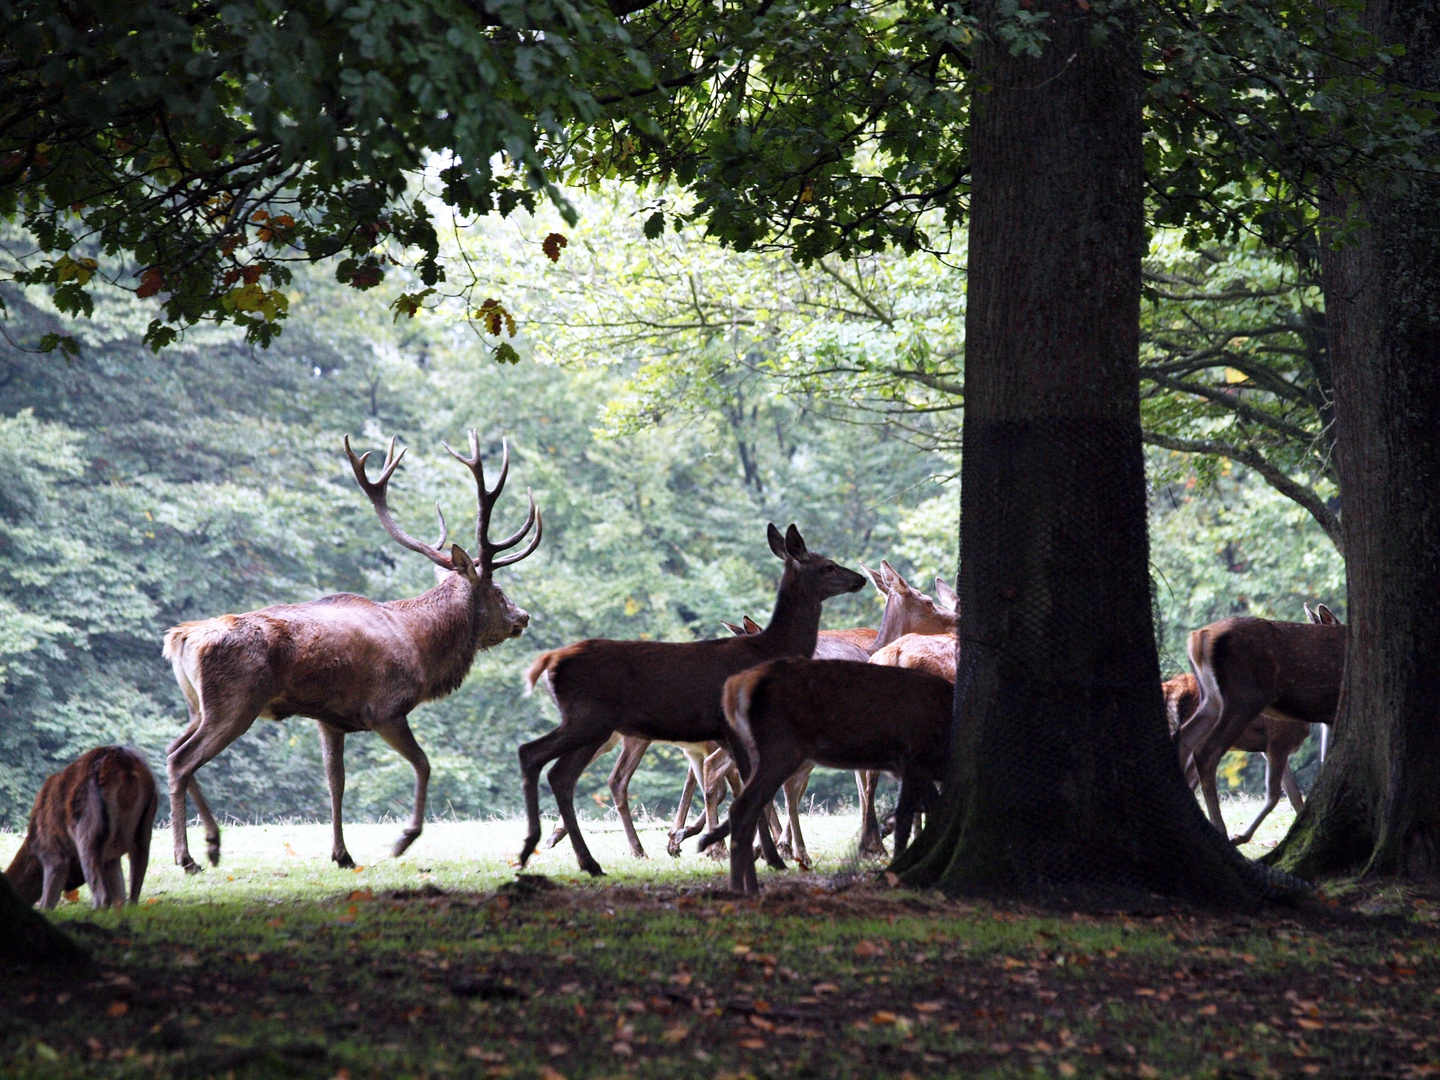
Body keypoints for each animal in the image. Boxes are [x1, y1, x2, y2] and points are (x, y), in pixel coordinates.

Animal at [5, 748, 157, 910]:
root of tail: (124, 767)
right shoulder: (111, 859)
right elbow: (120, 896)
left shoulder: (52, 853)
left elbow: (48, 902)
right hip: (145, 830)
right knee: (133, 897)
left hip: (88, 831)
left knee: (103, 896)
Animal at [163, 429, 541, 869]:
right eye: (497, 590)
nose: (523, 616)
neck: (422, 647)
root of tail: (181, 638)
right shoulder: (385, 708)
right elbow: (424, 764)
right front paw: (403, 838)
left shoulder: (330, 718)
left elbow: (335, 783)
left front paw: (342, 854)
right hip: (235, 701)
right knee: (181, 760)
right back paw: (188, 857)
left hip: (198, 706)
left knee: (173, 751)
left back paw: (212, 841)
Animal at [524, 527, 858, 881]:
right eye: (829, 566)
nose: (860, 579)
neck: (769, 649)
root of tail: (550, 660)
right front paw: (767, 856)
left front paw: (756, 853)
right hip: (591, 719)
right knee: (547, 762)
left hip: (592, 725)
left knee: (556, 772)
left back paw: (578, 858)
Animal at [699, 659, 956, 898]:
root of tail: (737, 685)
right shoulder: (914, 756)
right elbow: (908, 818)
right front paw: (895, 870)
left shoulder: (911, 768)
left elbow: (925, 810)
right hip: (781, 747)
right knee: (744, 807)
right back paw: (742, 888)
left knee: (747, 808)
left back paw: (747, 885)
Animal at [1175, 601, 1342, 846]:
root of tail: (1199, 637)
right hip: (1245, 696)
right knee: (1206, 753)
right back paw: (1222, 831)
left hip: (1213, 699)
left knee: (1183, 740)